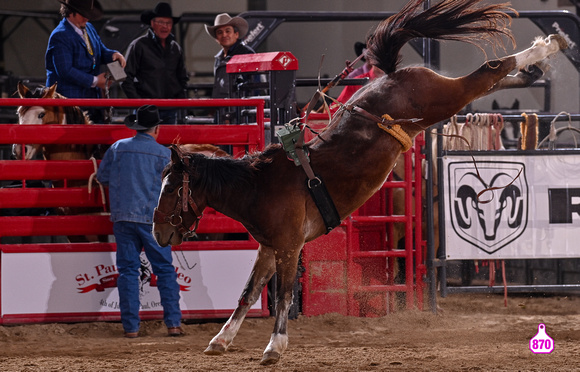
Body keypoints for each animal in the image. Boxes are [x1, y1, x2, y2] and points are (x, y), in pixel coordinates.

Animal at [153, 0, 568, 366]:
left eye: (172, 188)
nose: (158, 233)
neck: (258, 185)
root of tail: (392, 75)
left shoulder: (288, 247)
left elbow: (284, 296)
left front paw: (274, 346)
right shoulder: (269, 249)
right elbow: (246, 293)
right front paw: (220, 340)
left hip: (443, 98)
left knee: (490, 69)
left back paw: (547, 46)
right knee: (491, 79)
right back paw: (536, 65)